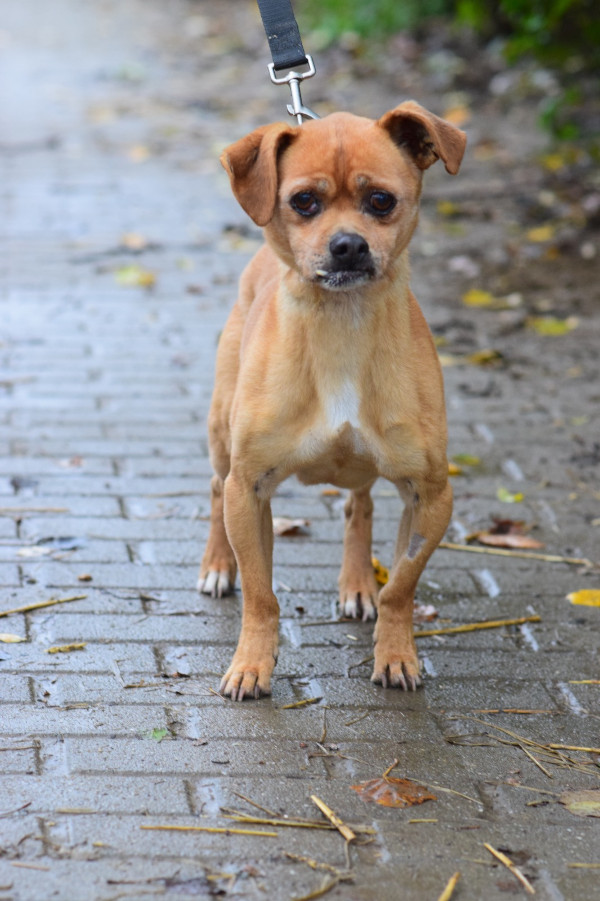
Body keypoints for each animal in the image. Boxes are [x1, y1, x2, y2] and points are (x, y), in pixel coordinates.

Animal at [199, 101, 466, 700]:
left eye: (381, 200)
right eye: (304, 201)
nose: (348, 245)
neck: (342, 324)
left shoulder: (432, 496)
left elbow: (401, 587)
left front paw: (396, 654)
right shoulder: (249, 489)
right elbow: (262, 594)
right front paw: (251, 664)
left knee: (358, 504)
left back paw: (357, 583)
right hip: (223, 439)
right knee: (214, 488)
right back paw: (217, 565)